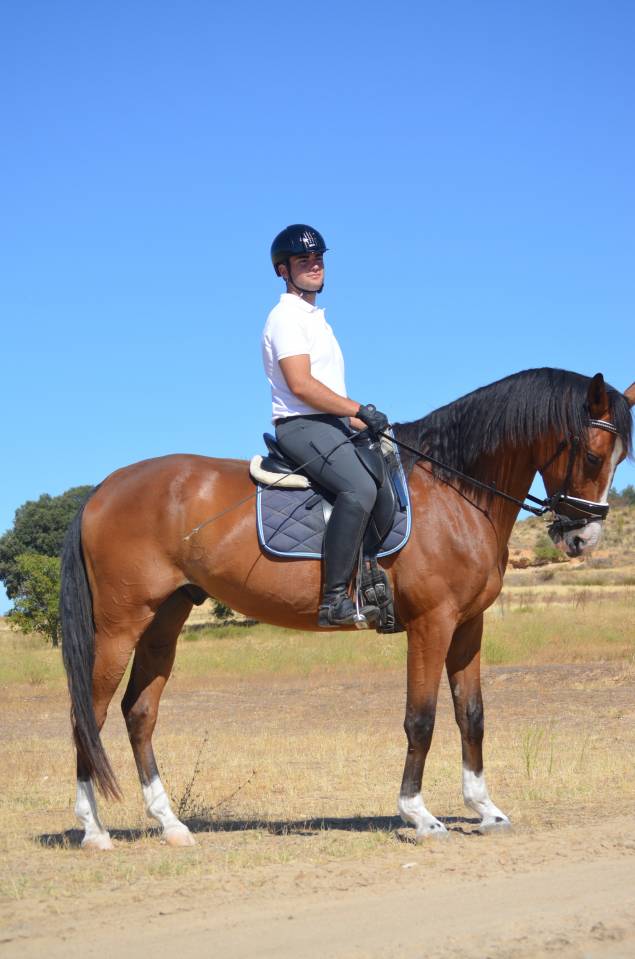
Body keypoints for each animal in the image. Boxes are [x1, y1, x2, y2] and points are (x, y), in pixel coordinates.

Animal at [60, 368, 634, 849]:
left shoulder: (468, 625)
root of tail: (102, 490)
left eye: (619, 459)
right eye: (591, 455)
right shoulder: (432, 624)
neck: (455, 490)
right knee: (89, 714)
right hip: (120, 625)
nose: (582, 538)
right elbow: (421, 719)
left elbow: (471, 716)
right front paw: (419, 815)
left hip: (164, 620)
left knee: (139, 713)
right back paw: (94, 830)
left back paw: (170, 823)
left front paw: (486, 809)